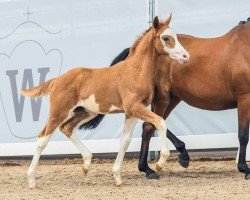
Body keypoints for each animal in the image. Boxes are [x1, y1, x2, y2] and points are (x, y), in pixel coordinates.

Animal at [21, 15, 189, 188]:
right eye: (166, 38)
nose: (185, 56)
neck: (135, 72)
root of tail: (57, 80)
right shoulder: (133, 107)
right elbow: (160, 122)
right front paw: (160, 163)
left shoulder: (132, 112)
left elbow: (125, 141)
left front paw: (117, 178)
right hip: (59, 112)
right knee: (43, 138)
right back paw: (32, 180)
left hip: (86, 112)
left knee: (67, 128)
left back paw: (86, 164)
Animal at [93, 20, 250, 180]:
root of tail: (134, 55)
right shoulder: (245, 97)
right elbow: (243, 135)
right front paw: (245, 169)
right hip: (162, 98)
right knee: (151, 126)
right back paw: (162, 163)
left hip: (172, 98)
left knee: (150, 126)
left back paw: (152, 167)